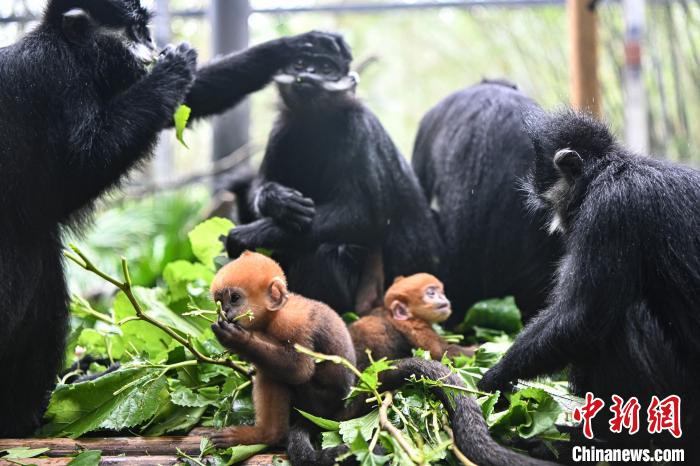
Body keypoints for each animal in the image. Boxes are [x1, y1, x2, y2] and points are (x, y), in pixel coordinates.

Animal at [0, 0, 344, 436]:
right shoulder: (54, 75)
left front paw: (293, 46)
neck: (72, 51)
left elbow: (188, 99)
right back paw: (27, 418)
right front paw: (173, 67)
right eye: (135, 31)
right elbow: (67, 180)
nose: (152, 44)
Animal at [208, 251, 356, 448]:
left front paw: (238, 339)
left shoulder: (291, 322)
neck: (274, 315)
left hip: (315, 405)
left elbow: (300, 370)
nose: (224, 311)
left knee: (272, 375)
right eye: (220, 301)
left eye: (234, 299)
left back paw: (266, 435)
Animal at [224, 36, 442, 314]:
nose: (308, 73)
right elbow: (260, 186)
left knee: (322, 251)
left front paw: (246, 235)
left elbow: (361, 215)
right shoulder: (283, 129)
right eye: (300, 63)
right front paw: (277, 200)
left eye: (326, 68)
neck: (317, 122)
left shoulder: (358, 127)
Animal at [478, 110, 700, 458]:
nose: (557, 224)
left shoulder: (610, 209)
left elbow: (583, 317)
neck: (613, 170)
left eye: (550, 203)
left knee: (621, 317)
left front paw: (495, 378)